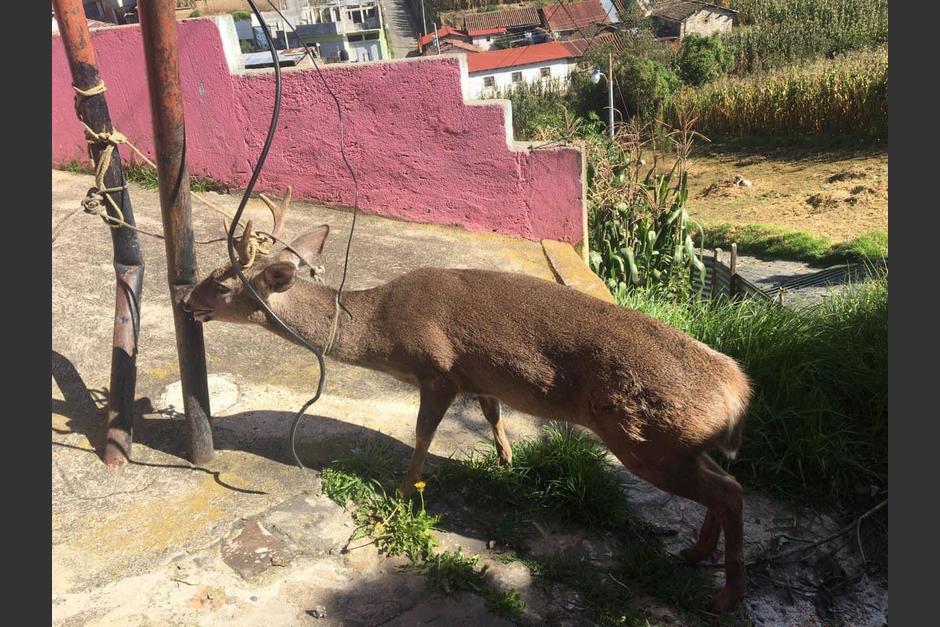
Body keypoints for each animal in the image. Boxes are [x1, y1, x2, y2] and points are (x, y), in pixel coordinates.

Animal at [184, 193, 752, 612]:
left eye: (221, 283)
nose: (186, 301)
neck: (379, 329)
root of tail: (735, 390)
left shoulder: (437, 369)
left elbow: (421, 435)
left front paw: (401, 493)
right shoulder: (480, 375)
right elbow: (493, 415)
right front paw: (504, 460)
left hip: (647, 439)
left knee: (730, 491)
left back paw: (726, 595)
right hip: (677, 444)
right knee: (722, 486)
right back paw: (695, 553)